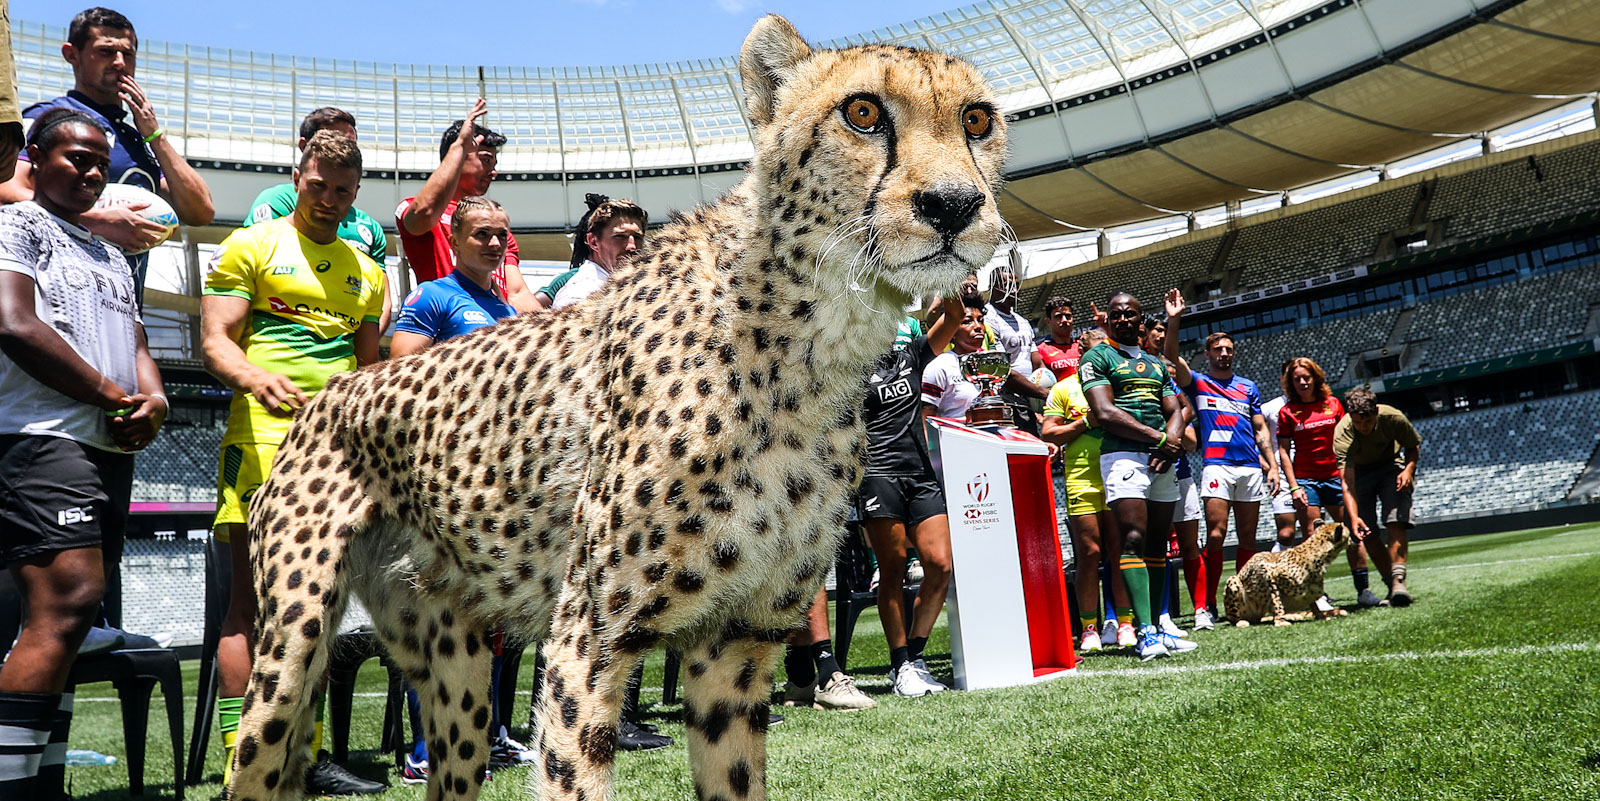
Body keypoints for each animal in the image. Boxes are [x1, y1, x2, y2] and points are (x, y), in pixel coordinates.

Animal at [225, 14, 1008, 801]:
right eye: (863, 113)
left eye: (977, 120)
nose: (953, 205)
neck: (813, 333)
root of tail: (327, 394)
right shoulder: (588, 640)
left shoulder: (735, 646)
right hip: (291, 650)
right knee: (252, 756)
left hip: (455, 676)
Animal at [1225, 521, 1353, 627]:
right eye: (1349, 534)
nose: (1353, 540)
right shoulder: (1268, 572)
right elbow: (1276, 600)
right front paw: (1280, 621)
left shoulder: (1311, 591)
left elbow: (1313, 603)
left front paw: (1321, 616)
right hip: (1233, 580)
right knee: (1235, 618)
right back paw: (1241, 621)